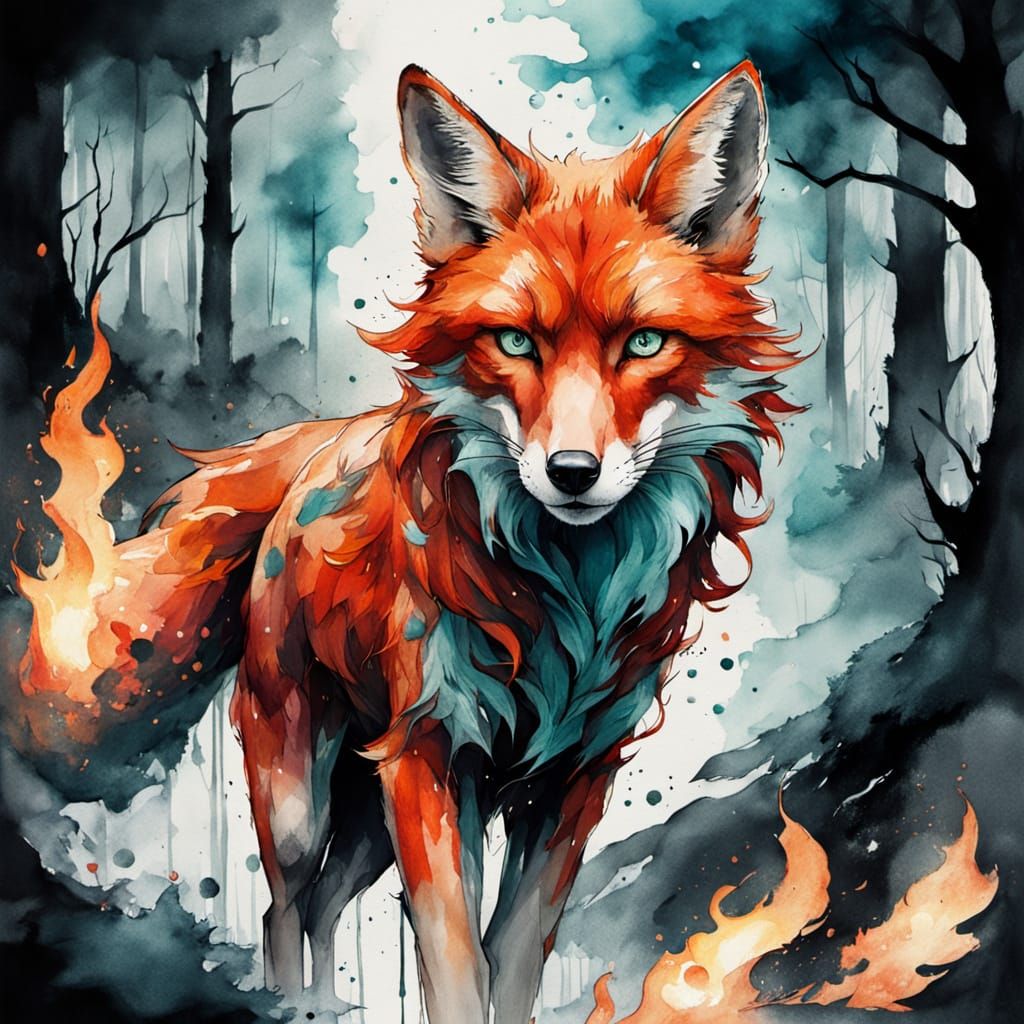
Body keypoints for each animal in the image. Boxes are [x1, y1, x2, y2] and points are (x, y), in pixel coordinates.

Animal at [16, 61, 799, 1023]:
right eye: (515, 342)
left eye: (645, 342)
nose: (572, 472)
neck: (564, 597)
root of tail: (313, 448)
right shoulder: (431, 759)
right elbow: (457, 967)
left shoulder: (572, 781)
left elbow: (513, 962)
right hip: (306, 795)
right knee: (284, 908)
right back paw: (292, 1004)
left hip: (369, 814)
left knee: (321, 909)